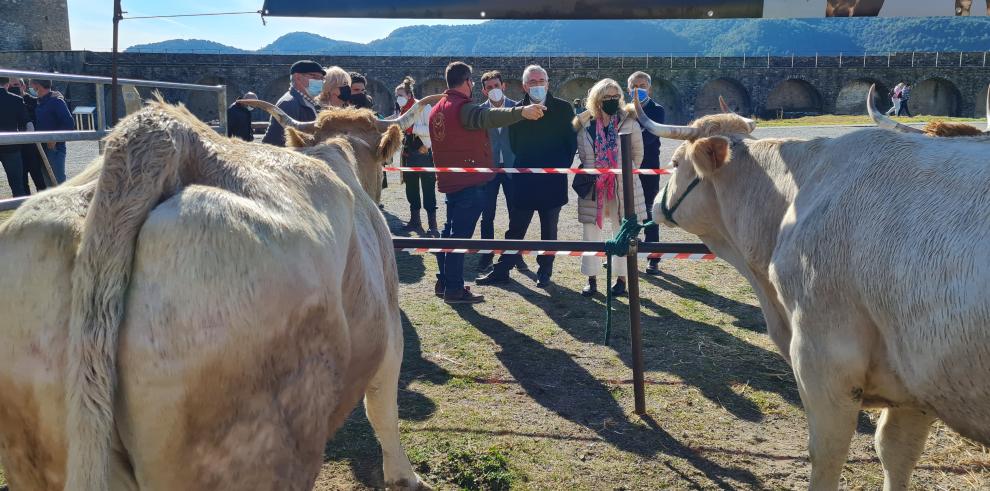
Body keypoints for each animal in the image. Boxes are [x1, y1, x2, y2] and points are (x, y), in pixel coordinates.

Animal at [636, 94, 990, 490]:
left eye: (675, 163)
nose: (654, 204)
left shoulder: (824, 360)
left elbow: (826, 455)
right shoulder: (917, 388)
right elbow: (897, 453)